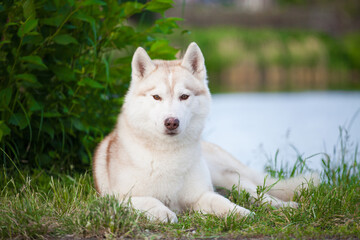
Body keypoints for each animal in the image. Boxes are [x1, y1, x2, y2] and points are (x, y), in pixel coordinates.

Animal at [93, 41, 318, 223]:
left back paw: (285, 207)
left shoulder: (200, 195)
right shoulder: (115, 198)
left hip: (228, 177)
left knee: (261, 194)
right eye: (156, 97)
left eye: (184, 96)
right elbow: (147, 201)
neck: (168, 156)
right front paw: (162, 212)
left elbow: (222, 202)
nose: (171, 122)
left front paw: (241, 213)